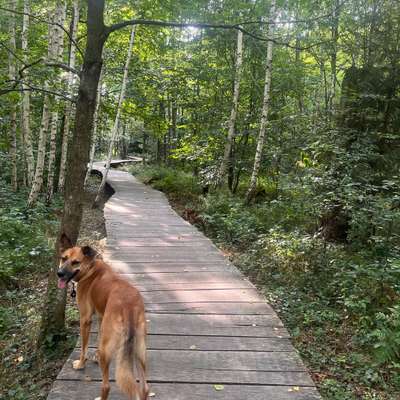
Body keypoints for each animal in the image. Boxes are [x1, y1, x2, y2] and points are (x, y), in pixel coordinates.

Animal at [57, 234, 149, 400]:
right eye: (63, 258)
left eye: (75, 262)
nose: (59, 273)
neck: (90, 270)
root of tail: (129, 307)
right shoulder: (101, 317)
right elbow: (97, 338)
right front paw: (95, 355)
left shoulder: (85, 319)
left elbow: (84, 348)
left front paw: (81, 364)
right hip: (140, 349)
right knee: (144, 388)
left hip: (111, 351)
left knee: (106, 386)